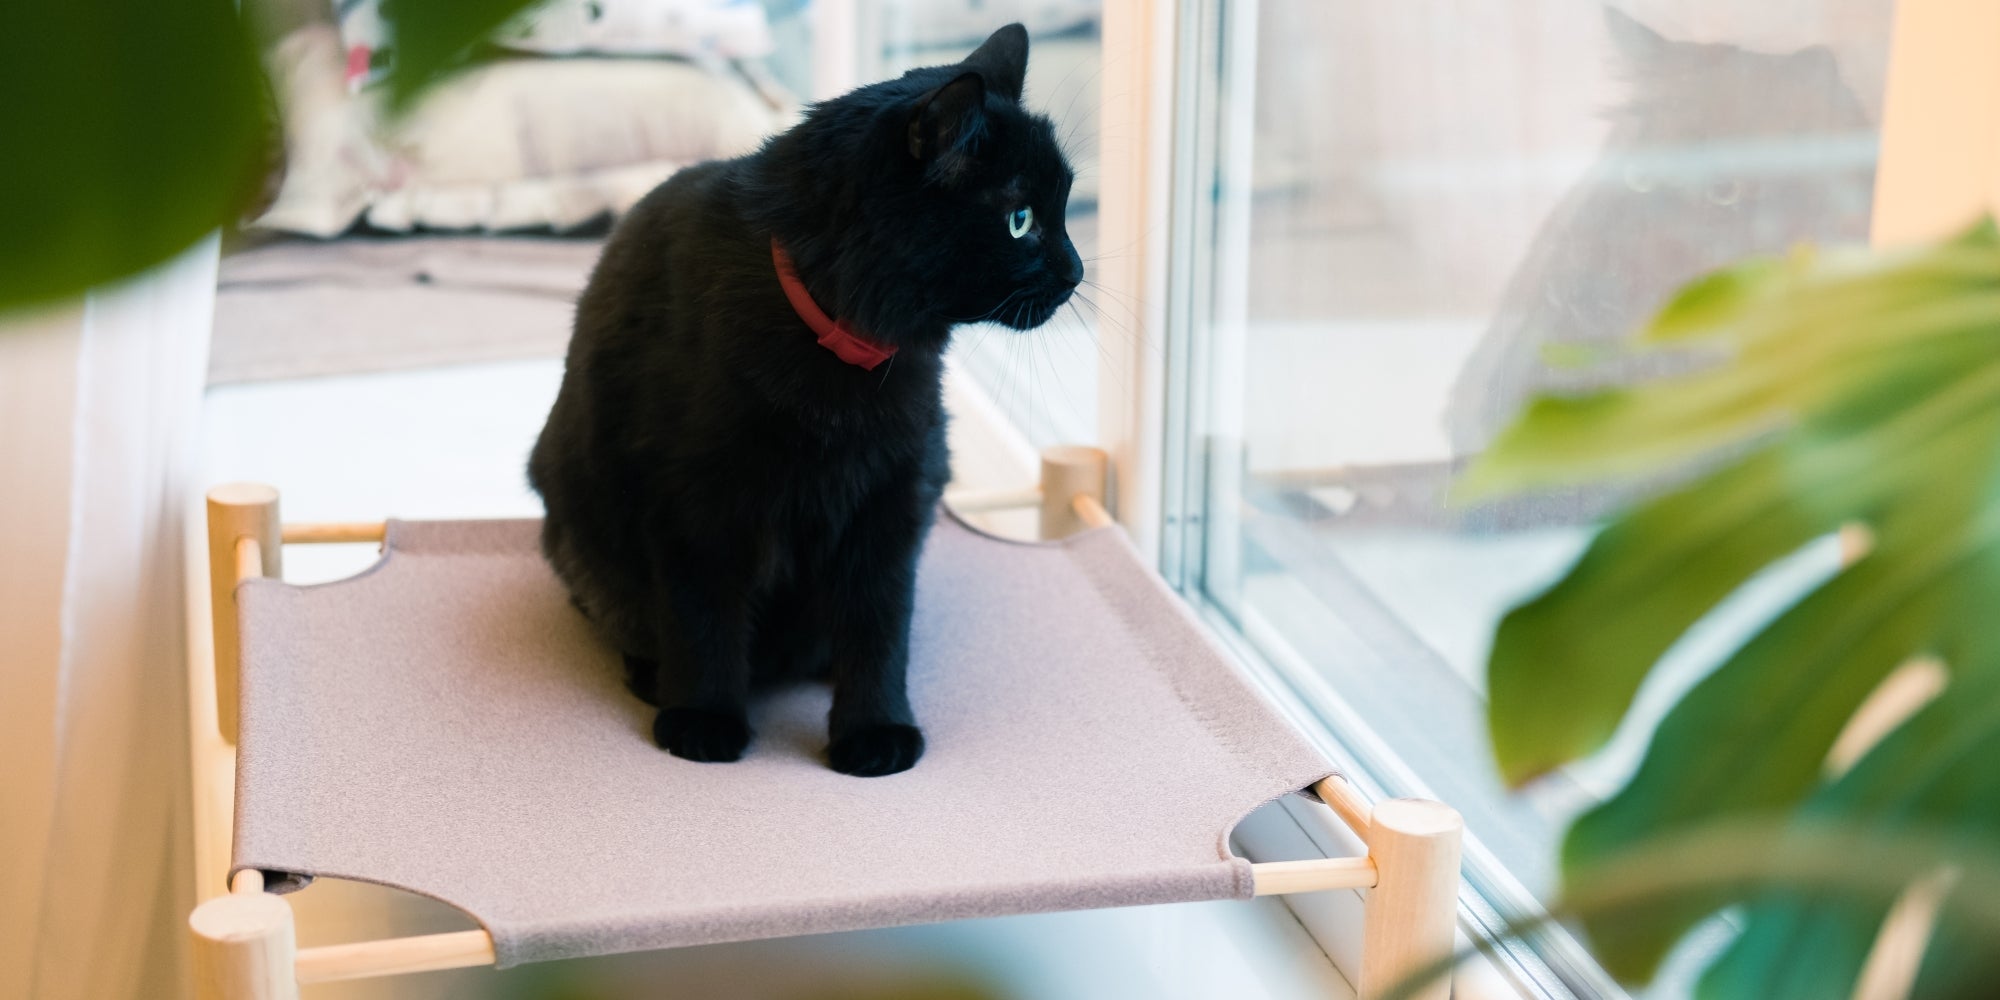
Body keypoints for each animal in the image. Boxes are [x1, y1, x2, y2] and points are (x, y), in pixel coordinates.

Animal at [528, 21, 1080, 772]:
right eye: (1020, 219)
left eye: (1063, 207)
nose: (1077, 271)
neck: (841, 352)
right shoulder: (695, 503)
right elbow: (703, 621)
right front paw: (704, 720)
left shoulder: (896, 495)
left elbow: (878, 628)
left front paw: (874, 731)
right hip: (581, 541)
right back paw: (653, 678)